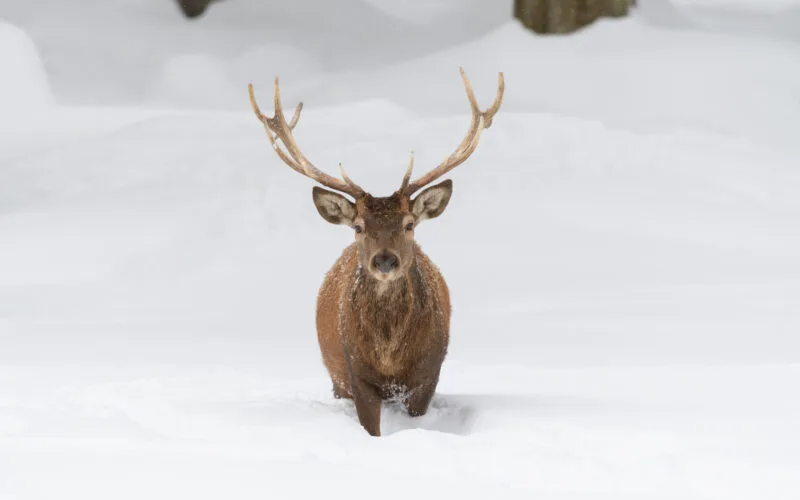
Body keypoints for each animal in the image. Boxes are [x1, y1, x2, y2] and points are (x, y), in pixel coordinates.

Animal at [248, 67, 504, 436]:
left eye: (410, 224)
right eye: (358, 227)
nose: (384, 259)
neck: (389, 356)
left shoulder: (428, 373)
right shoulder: (356, 373)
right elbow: (371, 428)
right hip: (336, 377)